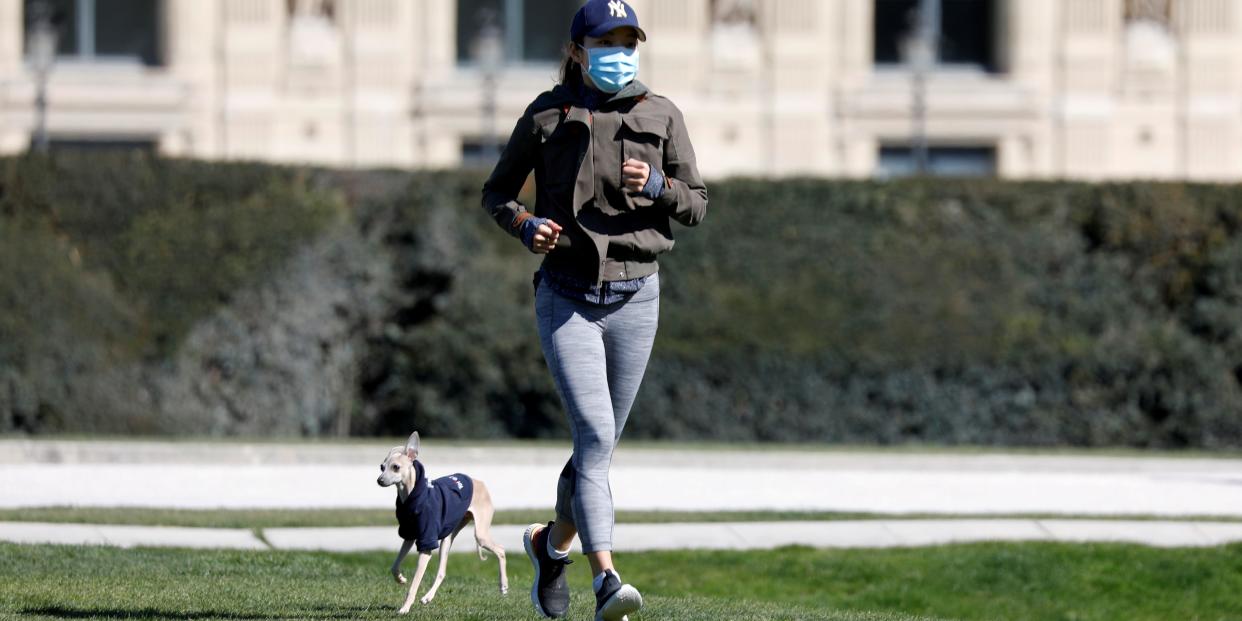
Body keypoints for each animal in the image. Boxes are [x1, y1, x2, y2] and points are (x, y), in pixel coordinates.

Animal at [375, 432, 506, 611]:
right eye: (382, 467)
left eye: (396, 467)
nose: (379, 480)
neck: (411, 496)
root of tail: (480, 483)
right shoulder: (409, 535)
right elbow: (394, 566)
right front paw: (401, 578)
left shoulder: (426, 544)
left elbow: (414, 585)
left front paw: (405, 608)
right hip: (448, 536)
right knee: (442, 572)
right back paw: (428, 597)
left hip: (480, 534)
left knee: (501, 550)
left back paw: (503, 586)